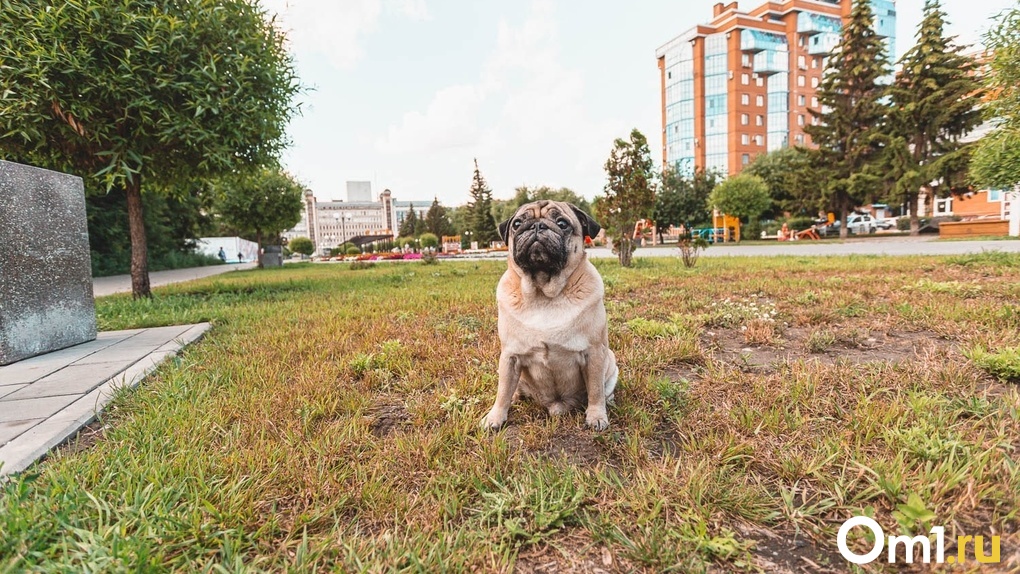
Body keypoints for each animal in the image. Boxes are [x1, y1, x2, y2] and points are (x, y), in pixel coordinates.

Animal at [481, 201, 616, 432]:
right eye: (517, 224)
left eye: (562, 223)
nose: (537, 225)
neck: (543, 294)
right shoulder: (509, 356)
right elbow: (502, 391)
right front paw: (495, 418)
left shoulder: (595, 353)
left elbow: (596, 390)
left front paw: (597, 416)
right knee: (511, 389)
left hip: (610, 360)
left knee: (603, 390)